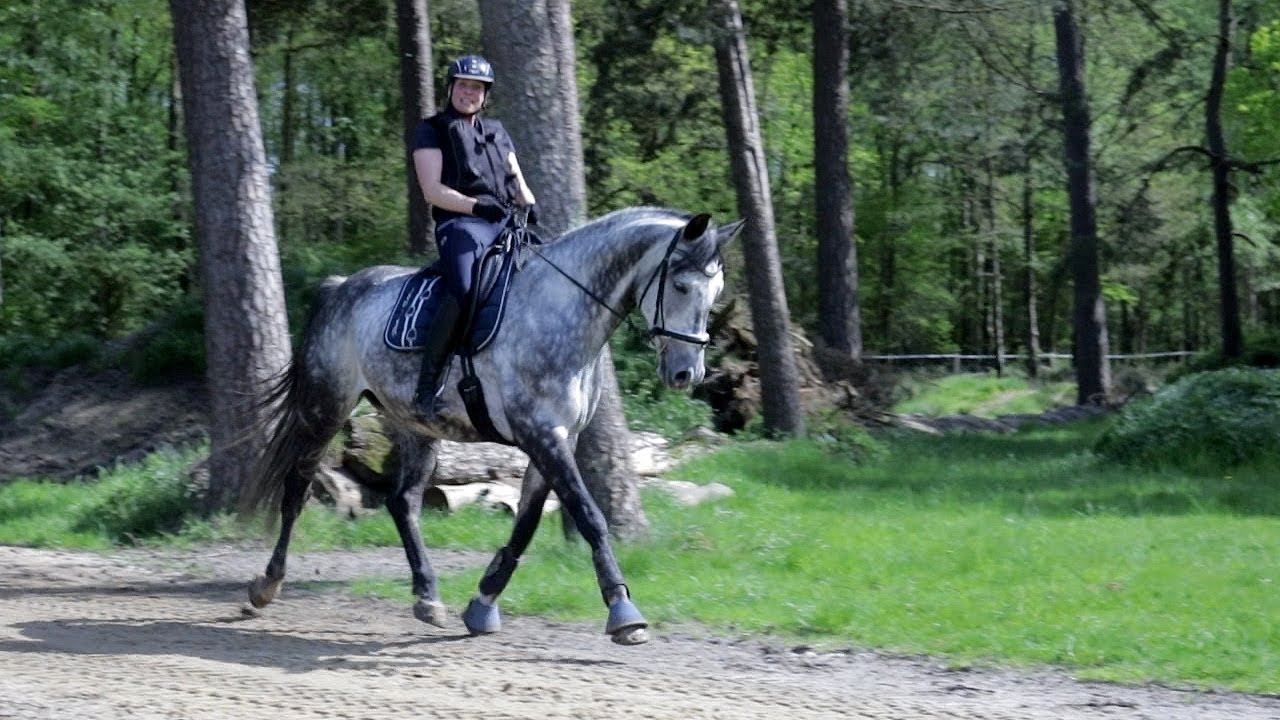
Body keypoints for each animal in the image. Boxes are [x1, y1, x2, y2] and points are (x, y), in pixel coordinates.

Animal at [239, 206, 742, 645]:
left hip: (416, 425)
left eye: (715, 293)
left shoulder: (558, 438)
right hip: (325, 407)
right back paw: (267, 584)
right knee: (297, 488)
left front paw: (482, 603)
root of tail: (342, 286)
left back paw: (428, 598)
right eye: (680, 286)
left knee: (403, 503)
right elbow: (589, 516)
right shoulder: (543, 434)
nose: (686, 374)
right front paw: (624, 612)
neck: (562, 311)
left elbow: (527, 522)